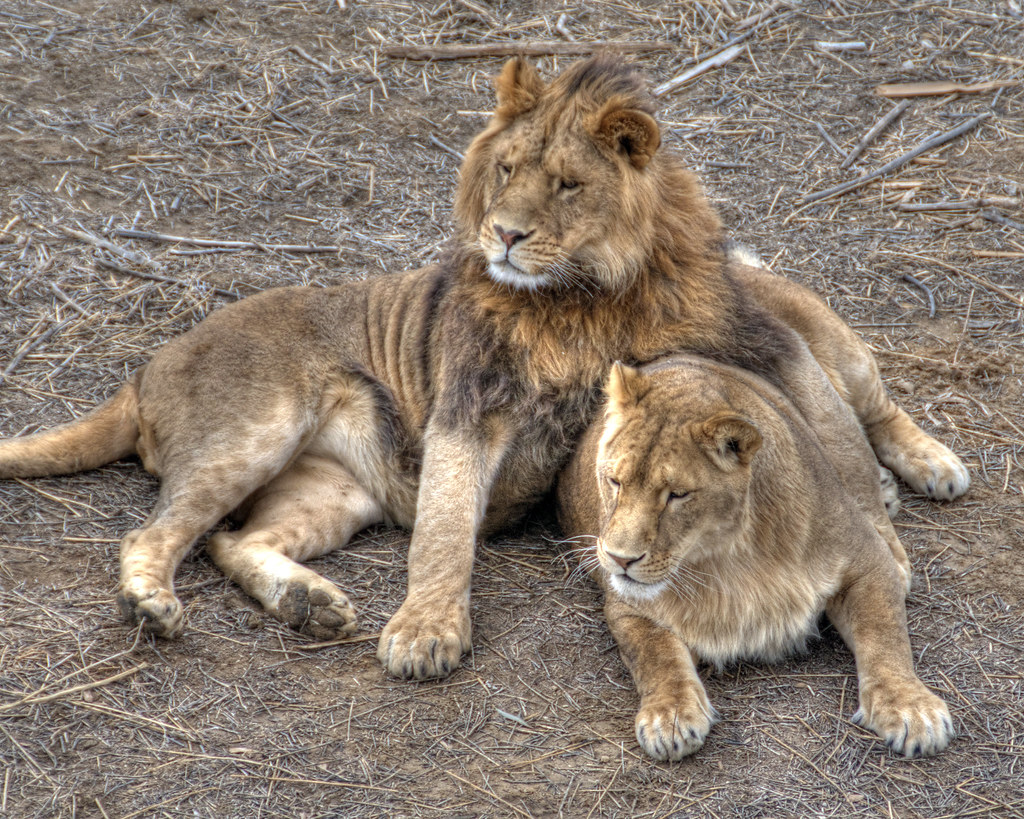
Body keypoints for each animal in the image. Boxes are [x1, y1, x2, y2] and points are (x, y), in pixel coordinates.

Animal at [0, 56, 967, 681]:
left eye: (568, 184)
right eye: (504, 170)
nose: (505, 232)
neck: (582, 290)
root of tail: (143, 373)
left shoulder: (762, 339)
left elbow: (831, 432)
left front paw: (877, 534)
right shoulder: (470, 399)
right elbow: (444, 525)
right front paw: (426, 629)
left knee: (873, 404)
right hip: (259, 429)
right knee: (164, 535)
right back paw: (167, 606)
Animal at [557, 351, 956, 759]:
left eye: (677, 495)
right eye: (614, 481)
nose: (620, 559)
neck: (727, 556)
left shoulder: (866, 560)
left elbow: (885, 634)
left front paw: (910, 707)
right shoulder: (628, 605)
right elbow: (655, 654)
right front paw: (669, 716)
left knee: (874, 421)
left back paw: (935, 470)